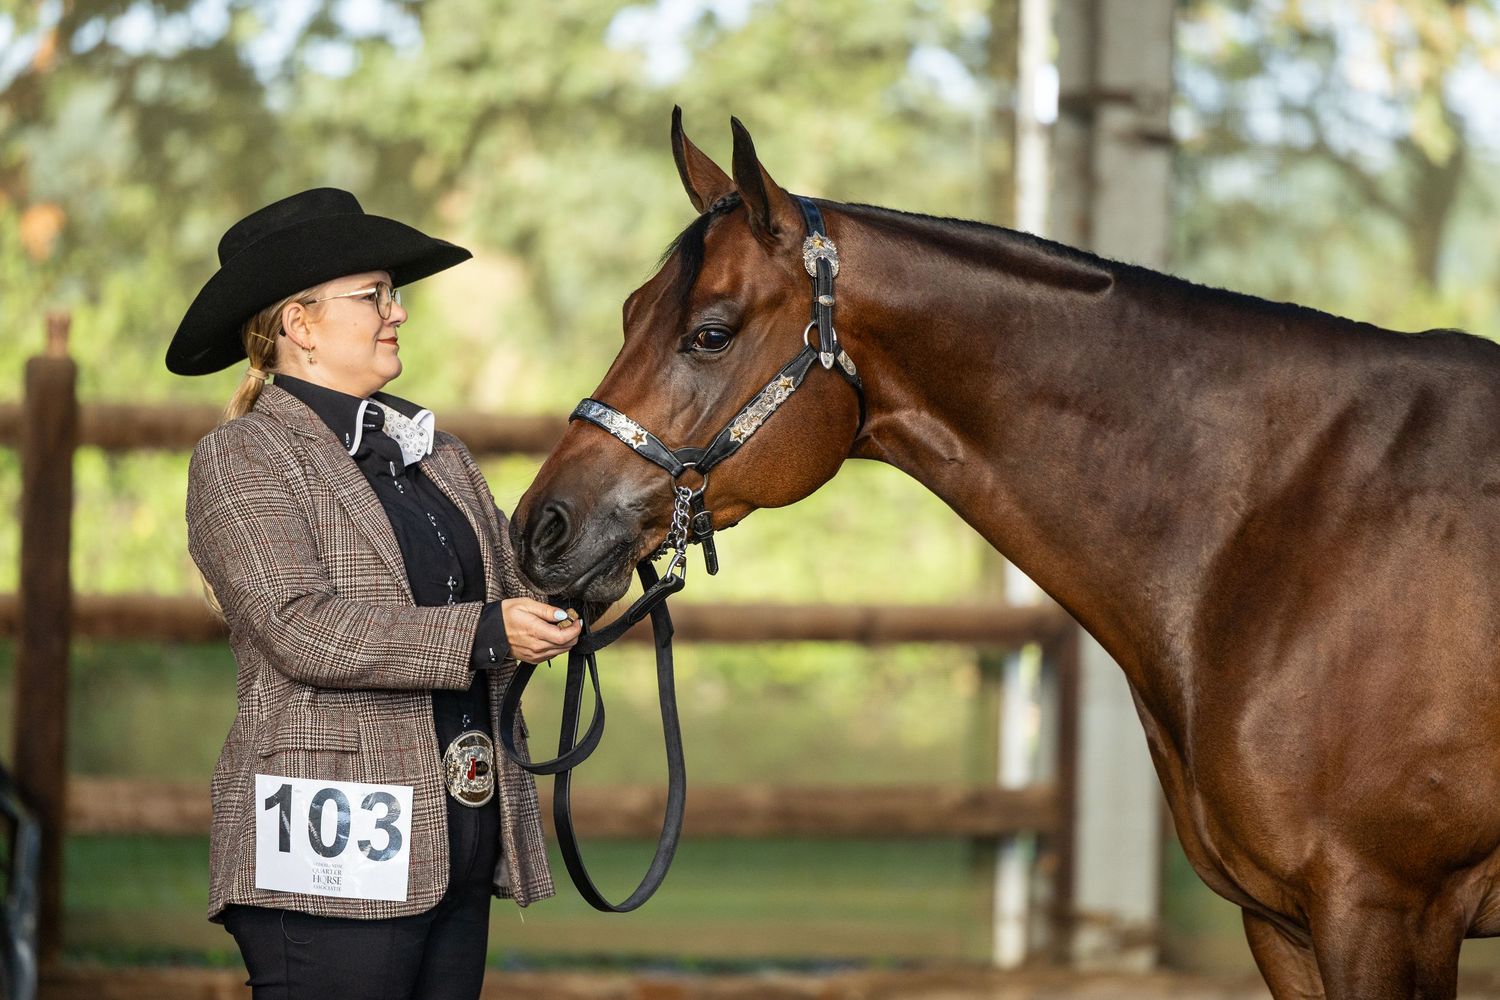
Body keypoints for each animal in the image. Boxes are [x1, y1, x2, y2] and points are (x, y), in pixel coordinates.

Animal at [510, 110, 1500, 999]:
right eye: (631, 311)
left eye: (710, 333)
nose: (539, 530)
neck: (1288, 517)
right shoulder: (1282, 926)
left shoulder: (1382, 910)